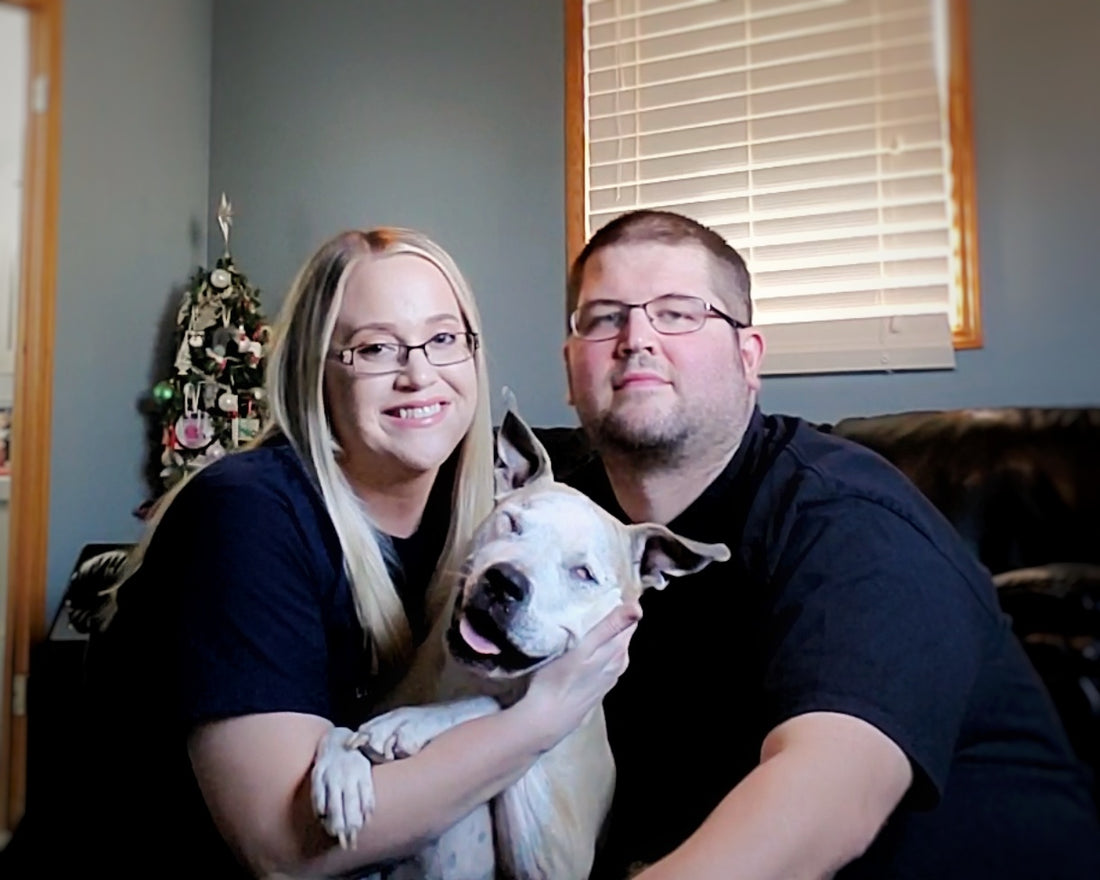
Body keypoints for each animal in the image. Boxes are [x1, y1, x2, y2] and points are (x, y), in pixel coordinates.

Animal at [308, 411, 730, 880]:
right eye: (511, 522)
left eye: (583, 574)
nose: (504, 581)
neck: (465, 678)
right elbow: (340, 730)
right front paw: (341, 769)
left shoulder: (552, 860)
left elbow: (497, 706)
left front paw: (409, 723)